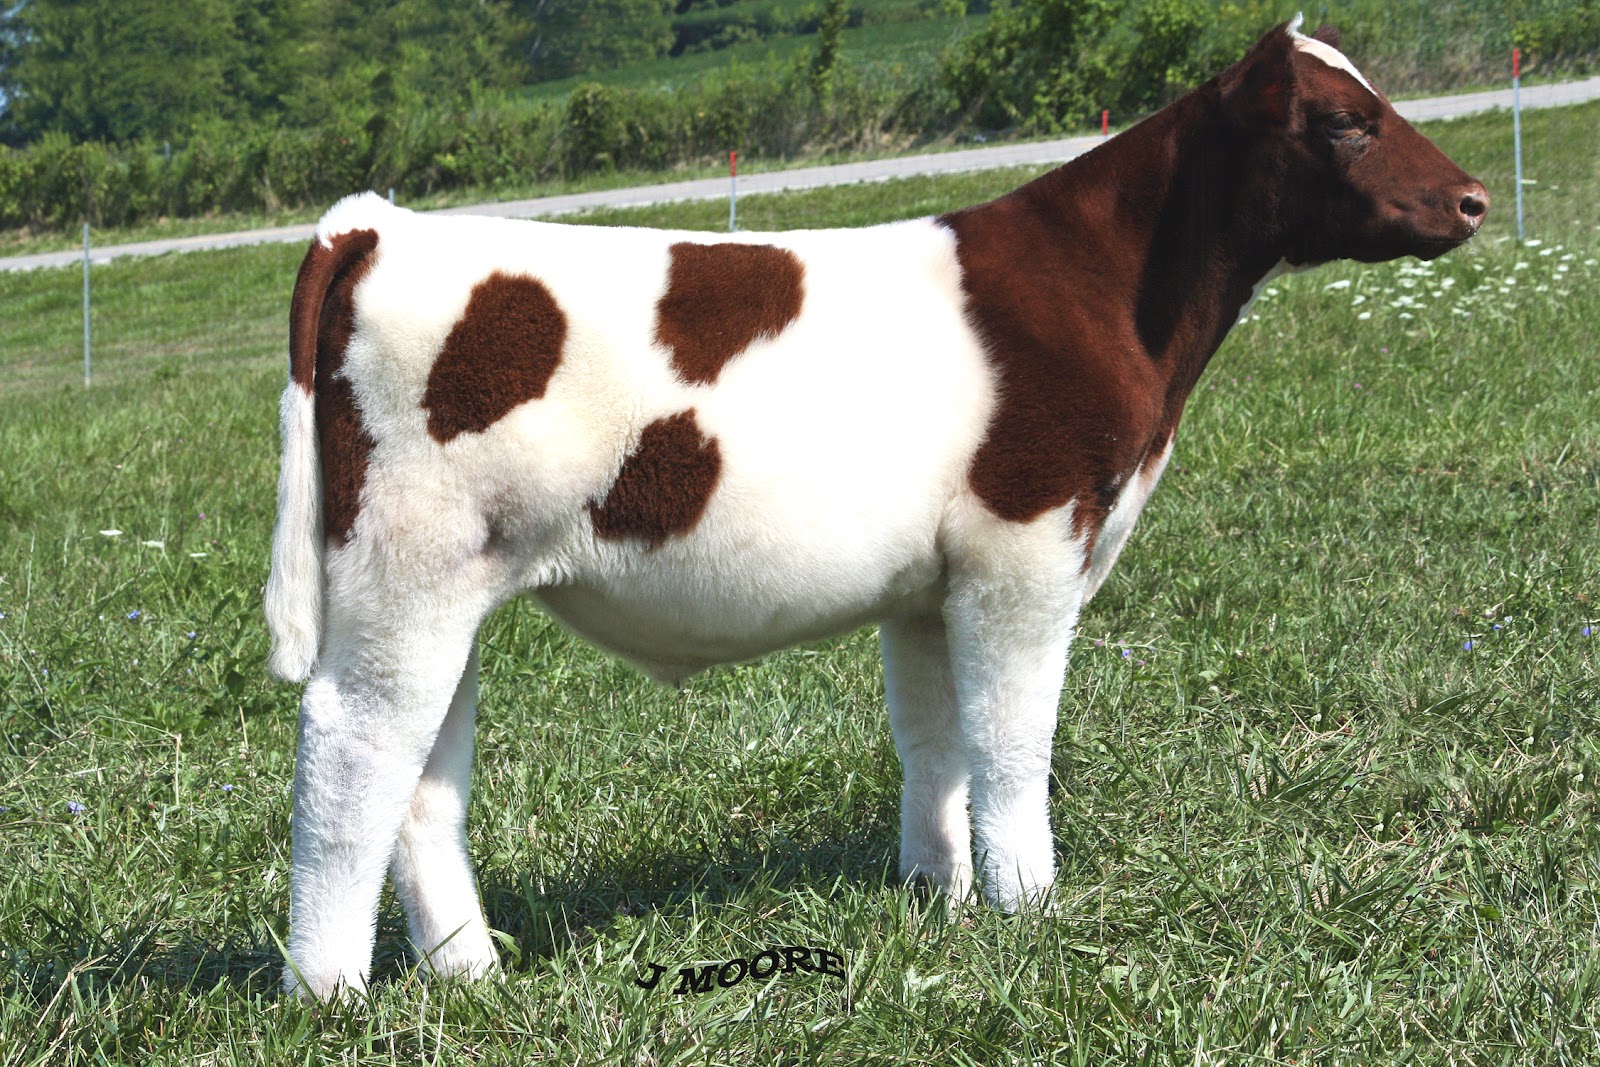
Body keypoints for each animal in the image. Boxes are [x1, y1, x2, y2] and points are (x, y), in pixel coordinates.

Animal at [266, 18, 1487, 999]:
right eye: (1346, 122)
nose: (1473, 198)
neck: (1112, 305)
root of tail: (379, 225)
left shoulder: (930, 584)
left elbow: (933, 734)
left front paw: (938, 894)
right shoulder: (1027, 545)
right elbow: (1009, 735)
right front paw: (1029, 904)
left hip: (441, 585)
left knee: (424, 770)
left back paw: (468, 969)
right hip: (406, 566)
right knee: (352, 748)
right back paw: (331, 992)